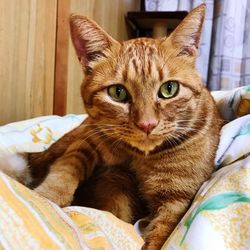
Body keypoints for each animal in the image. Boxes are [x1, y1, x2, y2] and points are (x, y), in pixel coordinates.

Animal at [0, 4, 223, 250]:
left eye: (169, 89)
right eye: (118, 93)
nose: (147, 124)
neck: (139, 158)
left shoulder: (176, 199)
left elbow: (159, 237)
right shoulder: (86, 142)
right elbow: (65, 169)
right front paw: (48, 197)